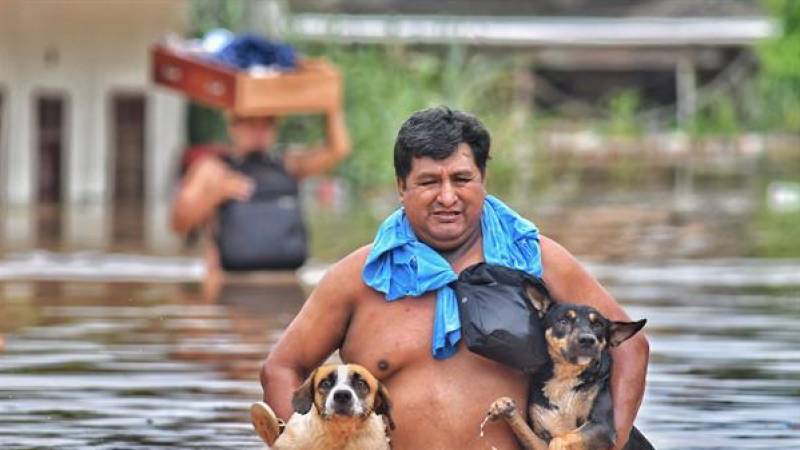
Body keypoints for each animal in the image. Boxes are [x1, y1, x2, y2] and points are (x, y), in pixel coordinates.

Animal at [488, 280, 648, 450]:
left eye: (597, 325)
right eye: (563, 322)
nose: (587, 340)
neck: (565, 378)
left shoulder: (602, 427)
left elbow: (562, 439)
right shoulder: (540, 437)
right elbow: (528, 431)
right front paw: (504, 407)